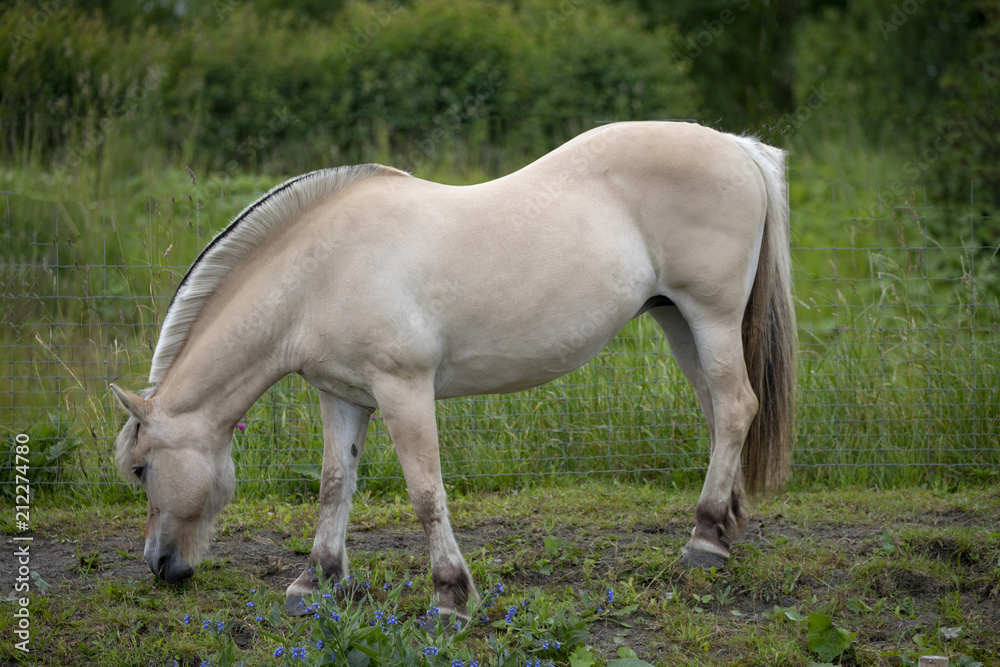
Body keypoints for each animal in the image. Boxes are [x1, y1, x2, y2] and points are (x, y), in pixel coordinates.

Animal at [110, 120, 795, 620]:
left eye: (142, 469)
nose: (159, 566)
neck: (320, 272)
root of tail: (739, 148)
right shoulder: (343, 396)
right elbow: (335, 482)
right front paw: (317, 579)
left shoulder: (404, 390)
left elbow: (425, 493)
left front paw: (450, 595)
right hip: (679, 322)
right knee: (718, 410)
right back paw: (725, 525)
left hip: (709, 315)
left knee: (736, 406)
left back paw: (704, 539)